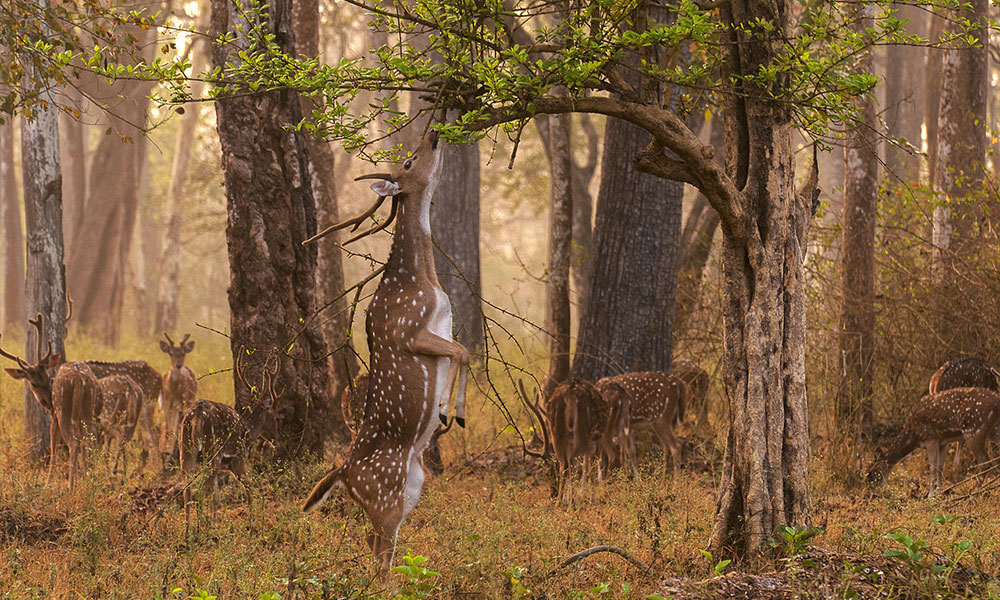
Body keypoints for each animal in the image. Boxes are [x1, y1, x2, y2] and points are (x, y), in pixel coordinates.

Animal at [0, 314, 103, 488]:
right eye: (34, 382)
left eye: (45, 378)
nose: (46, 400)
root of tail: (79, 378)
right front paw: (85, 476)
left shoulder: (54, 416)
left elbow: (54, 450)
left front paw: (47, 484)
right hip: (88, 409)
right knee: (89, 441)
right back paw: (91, 478)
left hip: (63, 411)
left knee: (74, 443)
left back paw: (70, 485)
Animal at [180, 350, 278, 532]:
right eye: (275, 417)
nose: (277, 438)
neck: (249, 431)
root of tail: (198, 413)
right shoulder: (237, 460)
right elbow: (249, 488)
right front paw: (252, 524)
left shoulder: (221, 468)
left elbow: (216, 499)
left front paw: (214, 524)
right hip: (213, 455)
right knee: (199, 491)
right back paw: (197, 530)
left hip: (186, 451)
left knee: (187, 490)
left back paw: (188, 531)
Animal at [298, 132, 470, 580]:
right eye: (408, 163)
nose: (435, 134)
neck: (423, 280)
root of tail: (342, 473)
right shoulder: (408, 331)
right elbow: (462, 353)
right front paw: (447, 410)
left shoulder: (442, 328)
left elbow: (463, 352)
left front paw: (449, 411)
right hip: (385, 495)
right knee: (378, 552)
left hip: (410, 489)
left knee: (374, 544)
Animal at [864, 386, 1000, 494]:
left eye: (872, 472)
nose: (870, 489)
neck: (914, 435)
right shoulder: (943, 442)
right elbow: (940, 467)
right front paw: (939, 492)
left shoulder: (930, 438)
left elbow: (932, 468)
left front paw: (930, 495)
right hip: (992, 431)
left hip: (973, 430)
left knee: (985, 462)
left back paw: (973, 493)